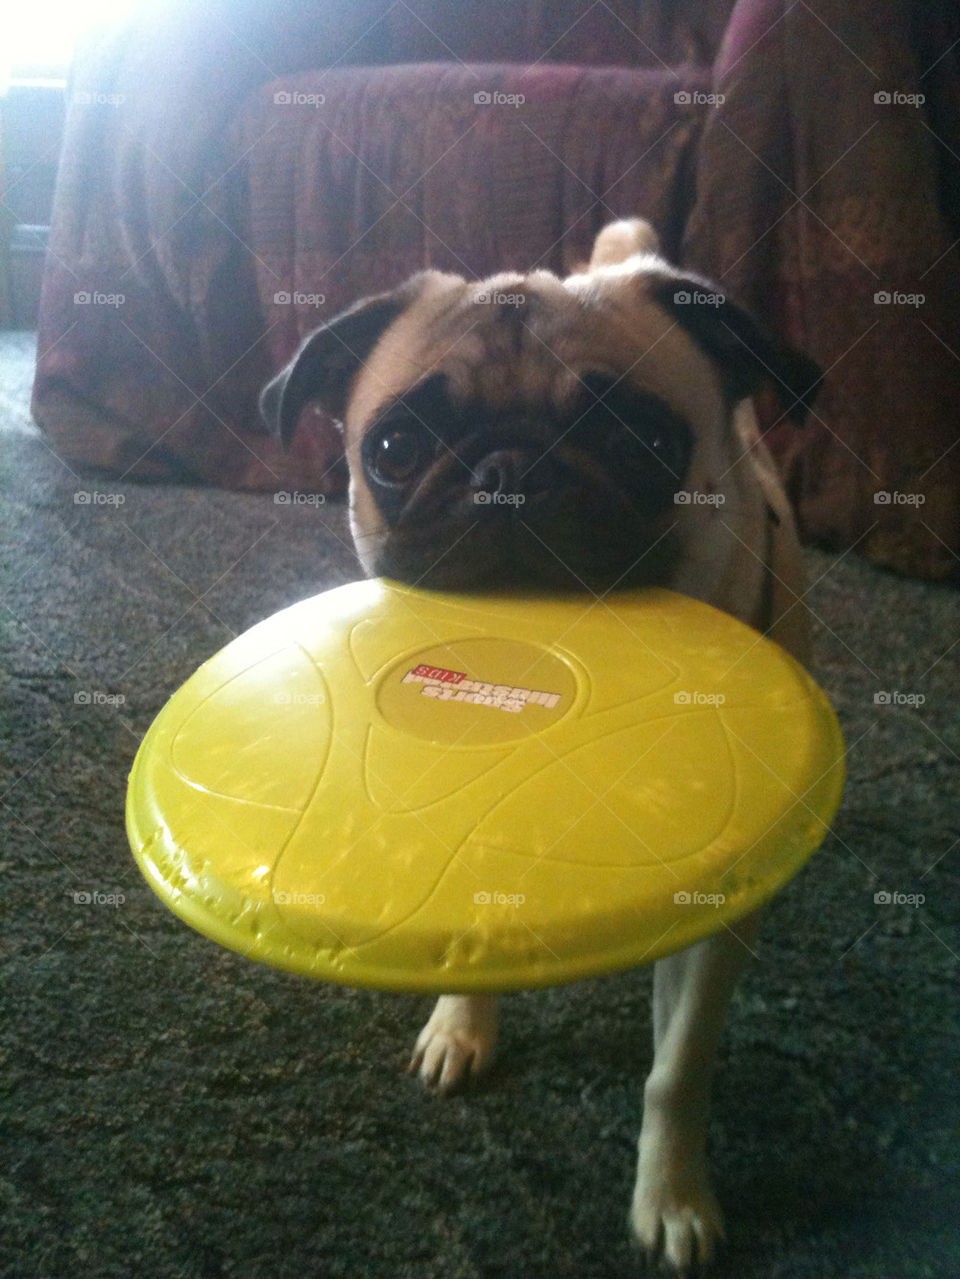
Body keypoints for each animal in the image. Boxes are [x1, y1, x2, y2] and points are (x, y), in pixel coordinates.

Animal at [259, 219, 823, 1268]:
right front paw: (461, 1024)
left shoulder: (717, 926)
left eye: (643, 440)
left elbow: (676, 1069)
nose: (508, 470)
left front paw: (672, 1197)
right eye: (394, 447)